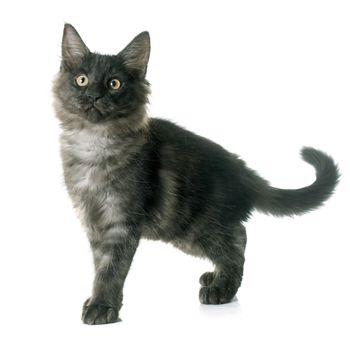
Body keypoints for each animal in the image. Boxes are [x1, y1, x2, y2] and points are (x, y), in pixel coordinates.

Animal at [54, 23, 340, 326]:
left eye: (114, 84)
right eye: (82, 80)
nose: (93, 96)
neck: (93, 143)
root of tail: (240, 168)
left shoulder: (120, 221)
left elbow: (111, 268)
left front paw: (102, 307)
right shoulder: (93, 220)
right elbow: (100, 265)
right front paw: (97, 301)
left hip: (192, 227)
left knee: (237, 240)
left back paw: (221, 288)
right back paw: (215, 277)